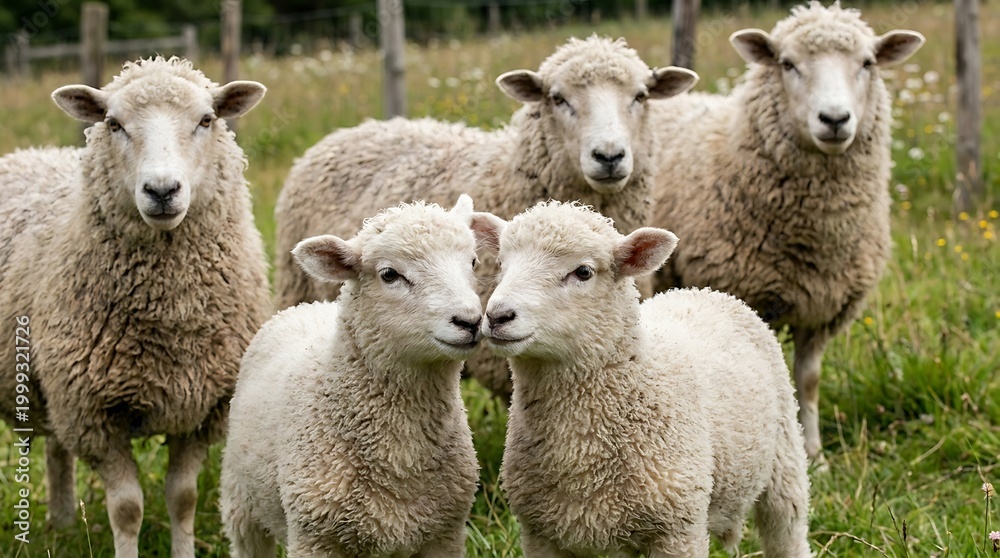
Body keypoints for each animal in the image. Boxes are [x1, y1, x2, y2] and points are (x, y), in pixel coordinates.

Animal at [0, 57, 270, 558]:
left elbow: (182, 498)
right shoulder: (94, 414)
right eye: (113, 124)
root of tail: (25, 153)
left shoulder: (201, 408)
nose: (162, 191)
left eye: (207, 120)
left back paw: (63, 523)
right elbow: (127, 509)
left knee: (54, 447)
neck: (172, 319)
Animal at [221, 195, 504, 558]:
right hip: (240, 500)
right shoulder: (314, 539)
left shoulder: (445, 535)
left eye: (472, 262)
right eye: (389, 274)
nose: (469, 321)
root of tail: (309, 306)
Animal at [482, 201, 811, 557]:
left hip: (785, 457)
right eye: (501, 264)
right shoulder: (540, 533)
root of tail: (702, 292)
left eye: (583, 272)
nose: (497, 316)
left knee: (787, 531)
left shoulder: (679, 529)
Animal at [648, 1, 925, 460]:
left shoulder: (826, 307)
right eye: (787, 63)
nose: (835, 119)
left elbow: (808, 380)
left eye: (867, 63)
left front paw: (815, 452)